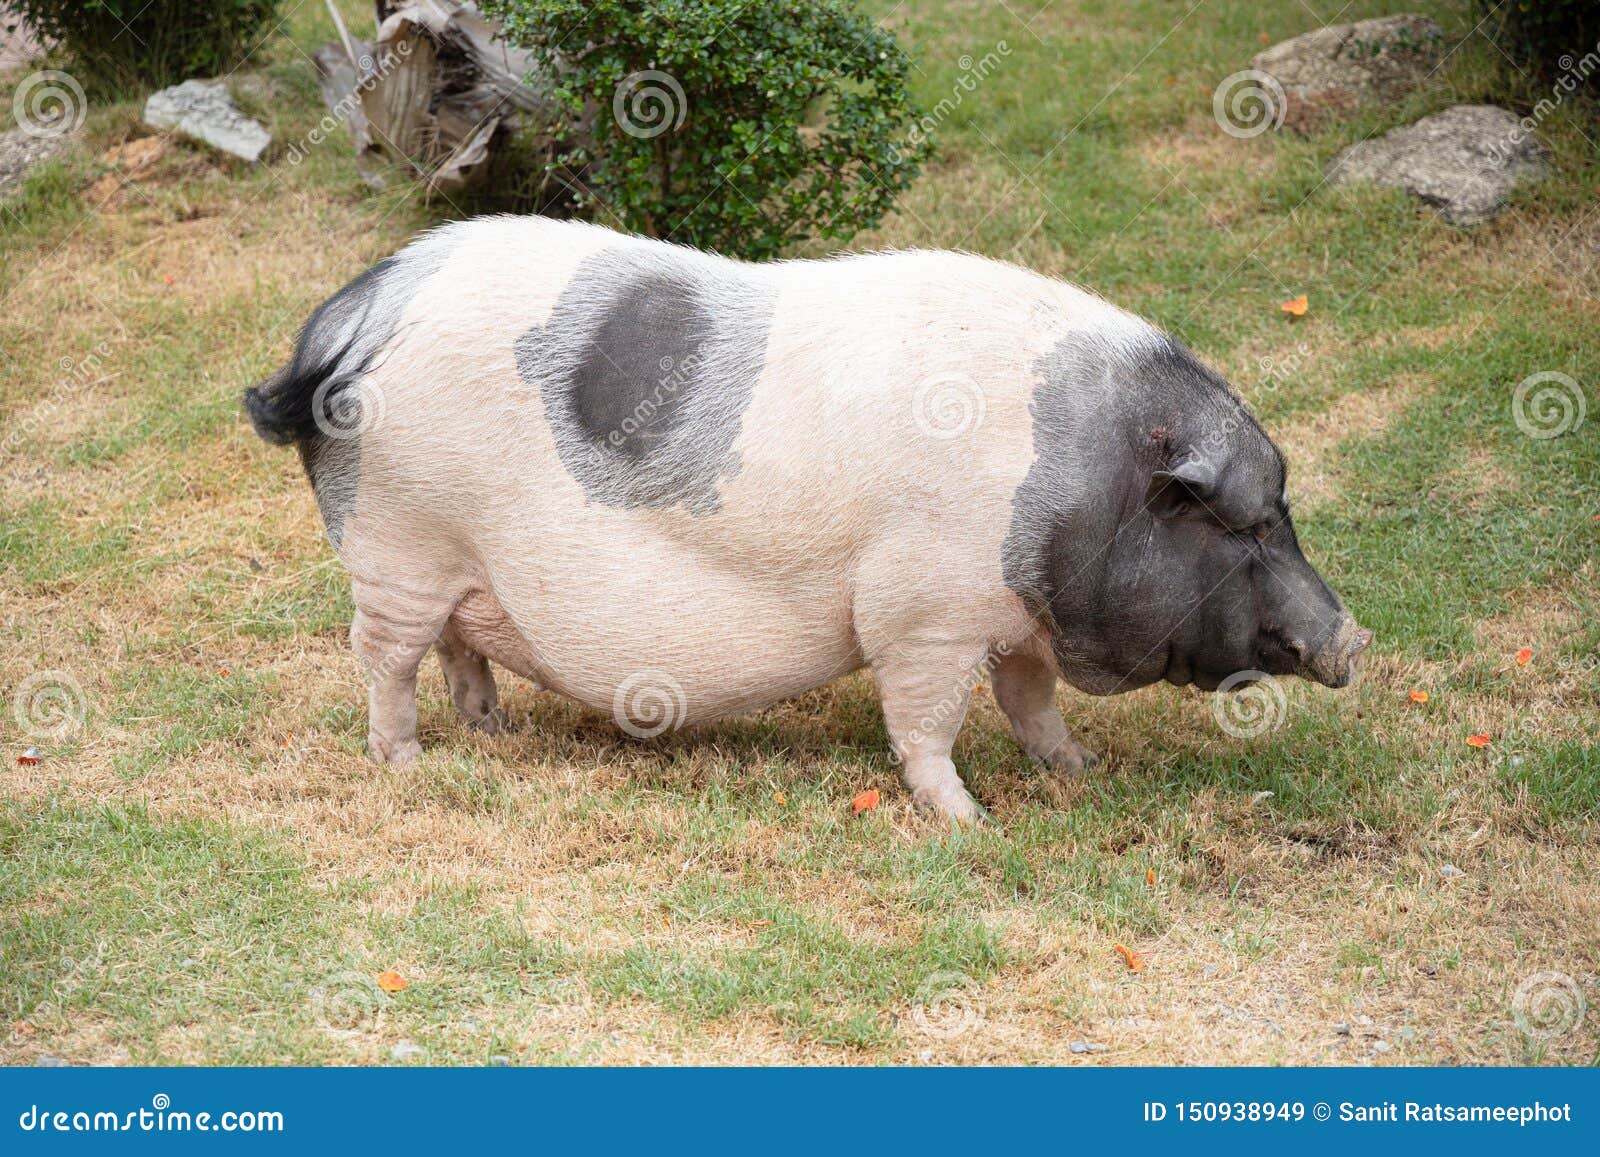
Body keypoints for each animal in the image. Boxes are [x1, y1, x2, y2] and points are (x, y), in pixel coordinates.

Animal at [243, 217, 1369, 825]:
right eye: (1242, 525)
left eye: (1279, 511)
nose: (1354, 638)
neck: (1079, 477)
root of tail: (359, 313)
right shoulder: (923, 611)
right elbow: (926, 721)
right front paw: (972, 822)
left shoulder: (1010, 611)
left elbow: (1030, 698)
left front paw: (1076, 772)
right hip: (399, 539)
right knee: (385, 657)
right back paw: (406, 762)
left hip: (448, 560)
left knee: (458, 647)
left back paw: (491, 727)